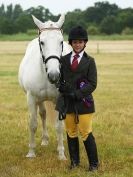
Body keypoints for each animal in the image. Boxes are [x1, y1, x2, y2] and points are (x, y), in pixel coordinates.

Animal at [18, 14, 71, 160]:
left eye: (61, 42)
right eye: (42, 42)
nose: (54, 75)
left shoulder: (60, 99)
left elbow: (59, 126)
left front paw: (61, 153)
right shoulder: (31, 97)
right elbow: (33, 124)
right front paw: (31, 152)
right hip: (39, 100)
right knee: (43, 114)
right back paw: (45, 139)